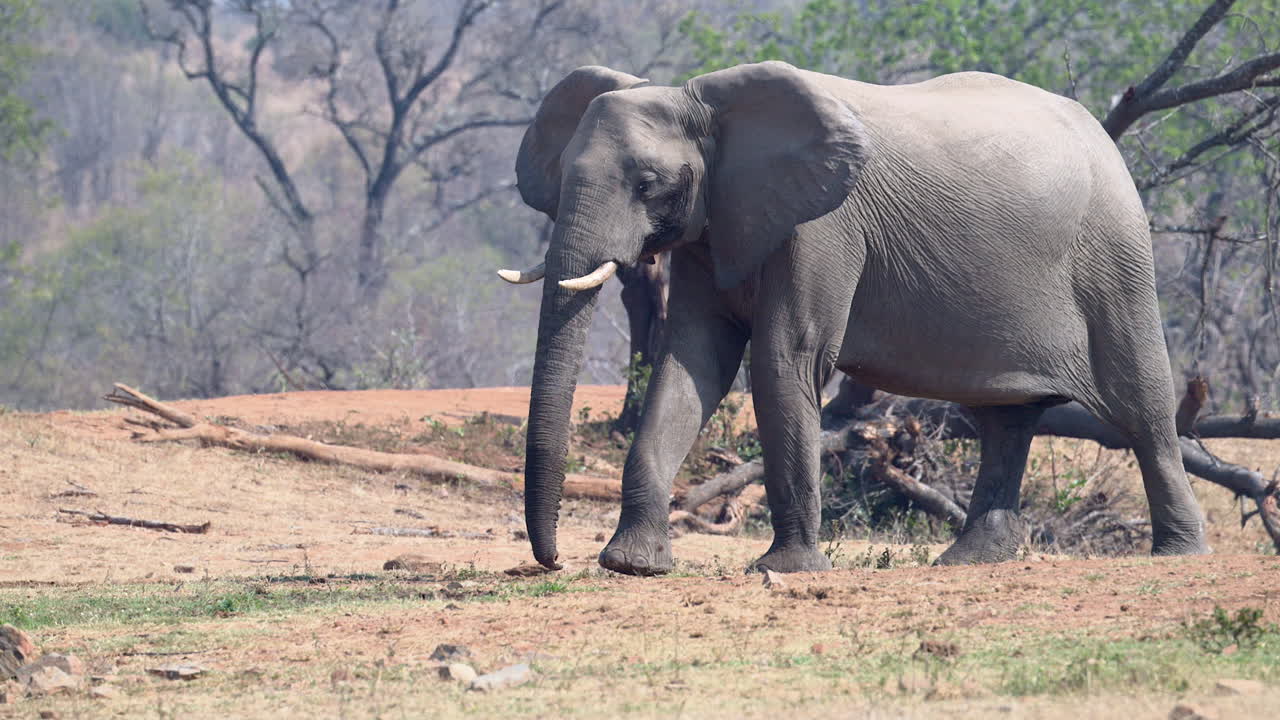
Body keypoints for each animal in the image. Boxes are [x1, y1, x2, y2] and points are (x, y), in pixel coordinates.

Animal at [498, 61, 1208, 575]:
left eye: (648, 184)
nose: (551, 562)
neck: (710, 103)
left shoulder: (824, 227)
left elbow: (784, 357)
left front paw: (786, 570)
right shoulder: (713, 225)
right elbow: (694, 362)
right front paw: (632, 566)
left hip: (1114, 254)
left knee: (1141, 403)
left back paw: (1179, 552)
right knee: (1004, 417)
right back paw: (968, 561)